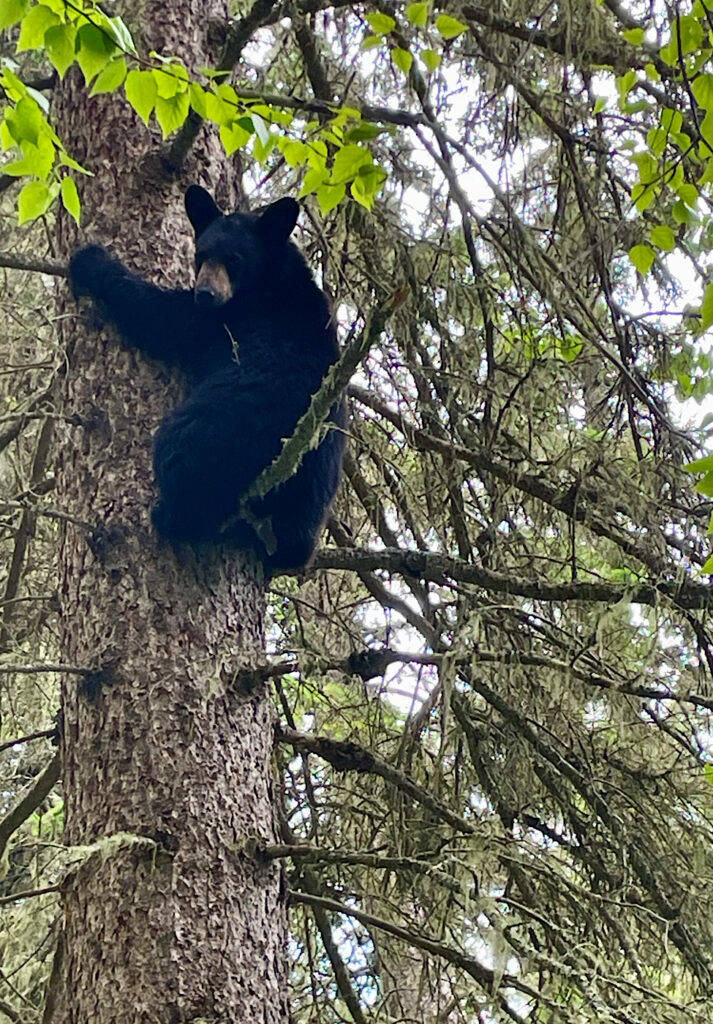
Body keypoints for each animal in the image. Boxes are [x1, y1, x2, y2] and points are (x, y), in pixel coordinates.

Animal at [68, 186, 345, 573]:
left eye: (235, 258)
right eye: (201, 255)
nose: (206, 293)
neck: (275, 281)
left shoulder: (219, 321)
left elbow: (160, 316)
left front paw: (90, 260)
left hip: (221, 434)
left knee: (179, 454)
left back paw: (170, 515)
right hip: (316, 482)